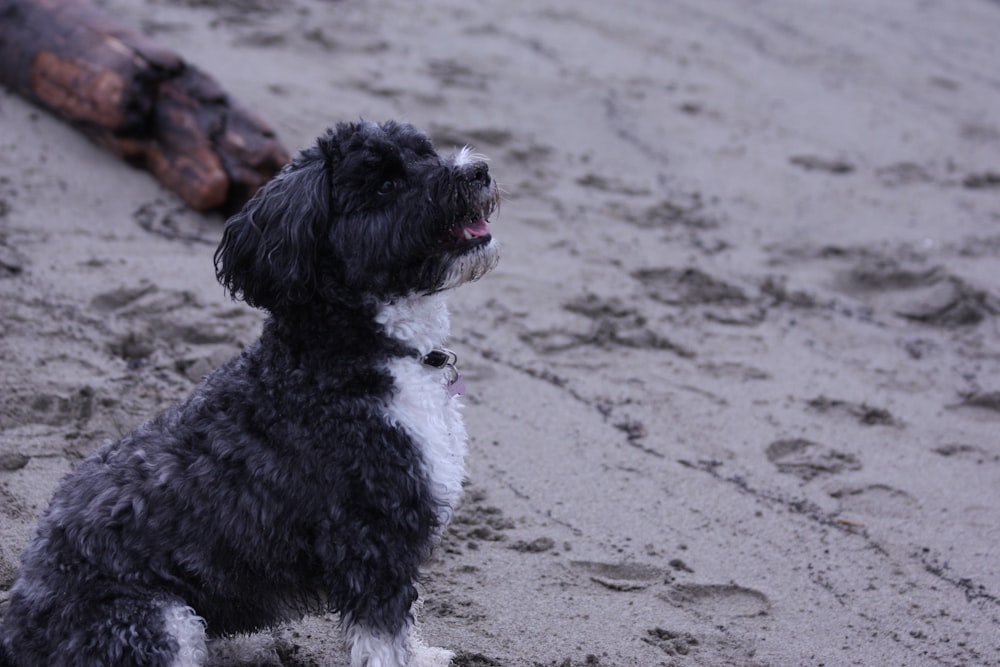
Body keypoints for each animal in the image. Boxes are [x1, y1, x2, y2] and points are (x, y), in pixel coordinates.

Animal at [0, 121, 500, 667]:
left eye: (425, 153)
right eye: (386, 185)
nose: (477, 171)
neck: (368, 347)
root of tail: (18, 620)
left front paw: (422, 655)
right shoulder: (373, 536)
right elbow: (383, 634)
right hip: (156, 620)